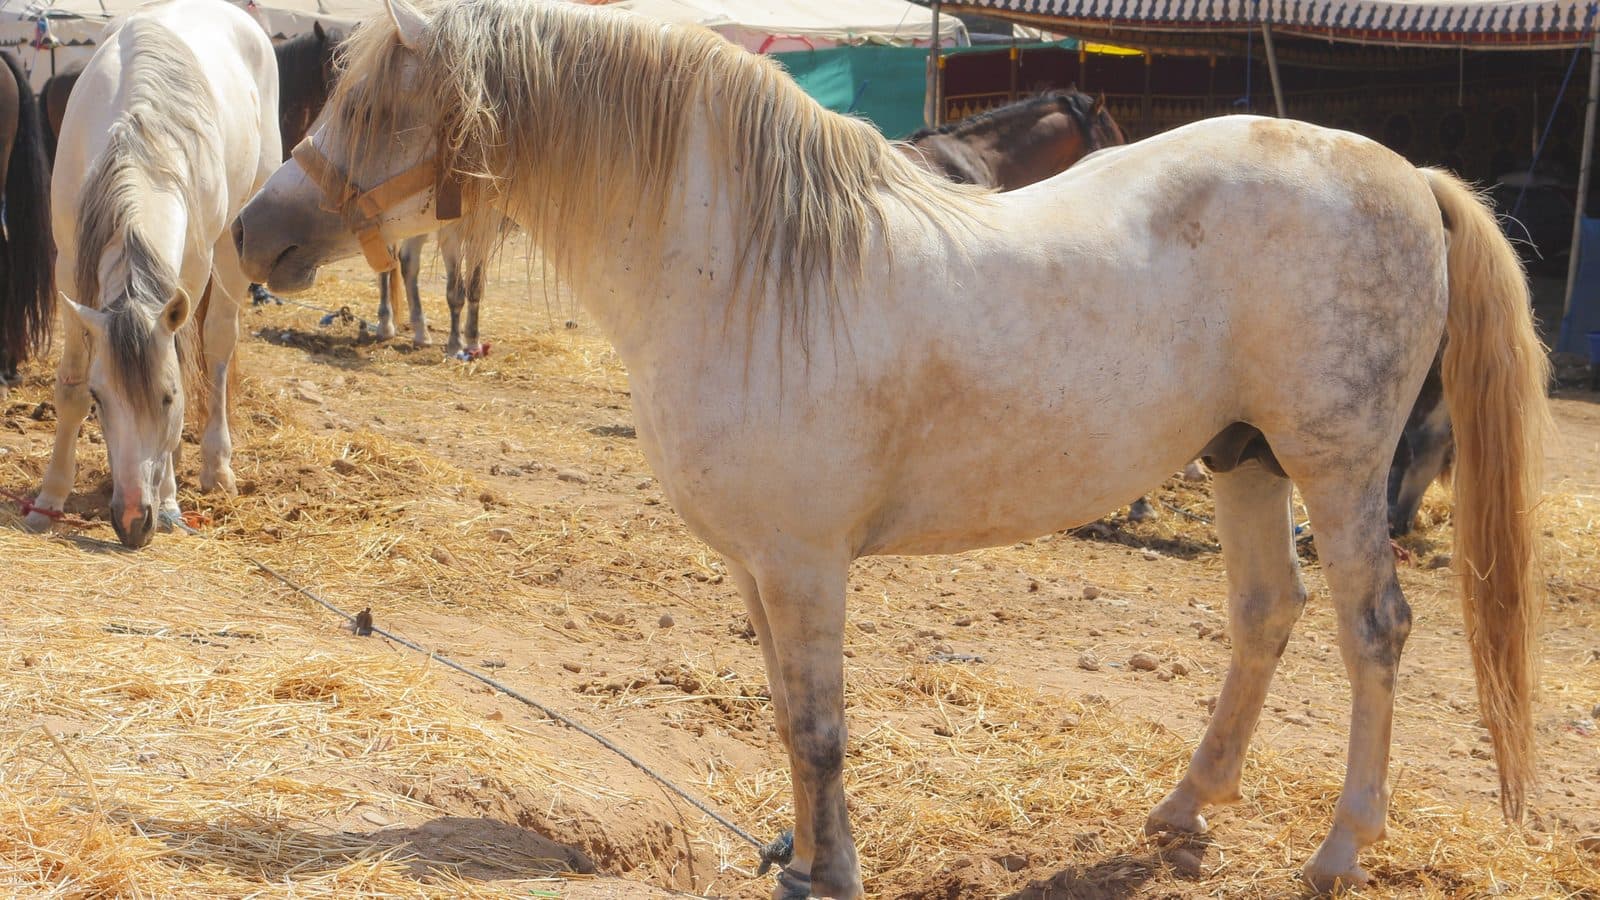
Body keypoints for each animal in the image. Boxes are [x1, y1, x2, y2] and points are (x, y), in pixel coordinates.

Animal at [27, 0, 280, 548]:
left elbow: (188, 365)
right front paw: (49, 498)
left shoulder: (193, 269)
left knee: (218, 345)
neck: (139, 151)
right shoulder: (69, 270)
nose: (131, 522)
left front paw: (167, 502)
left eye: (167, 398)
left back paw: (214, 467)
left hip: (233, 242)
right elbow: (69, 386)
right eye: (101, 399)